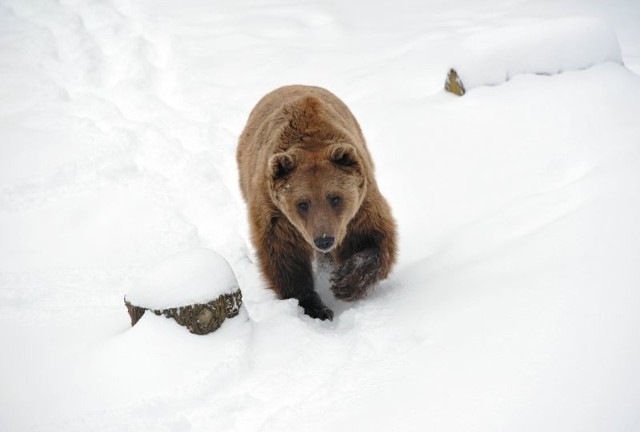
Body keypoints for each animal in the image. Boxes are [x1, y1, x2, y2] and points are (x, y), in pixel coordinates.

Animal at [236, 85, 396, 320]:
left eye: (335, 198)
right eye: (303, 203)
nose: (324, 240)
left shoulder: (359, 208)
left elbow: (371, 239)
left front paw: (344, 282)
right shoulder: (277, 216)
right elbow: (285, 259)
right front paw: (315, 308)